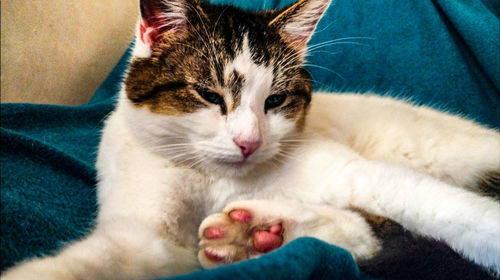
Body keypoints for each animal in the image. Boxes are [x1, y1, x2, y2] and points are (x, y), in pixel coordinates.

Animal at [1, 0, 498, 280]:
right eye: (209, 95)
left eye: (275, 100)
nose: (248, 143)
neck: (216, 181)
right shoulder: (144, 231)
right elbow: (114, 257)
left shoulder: (355, 173)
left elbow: (438, 208)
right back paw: (256, 235)